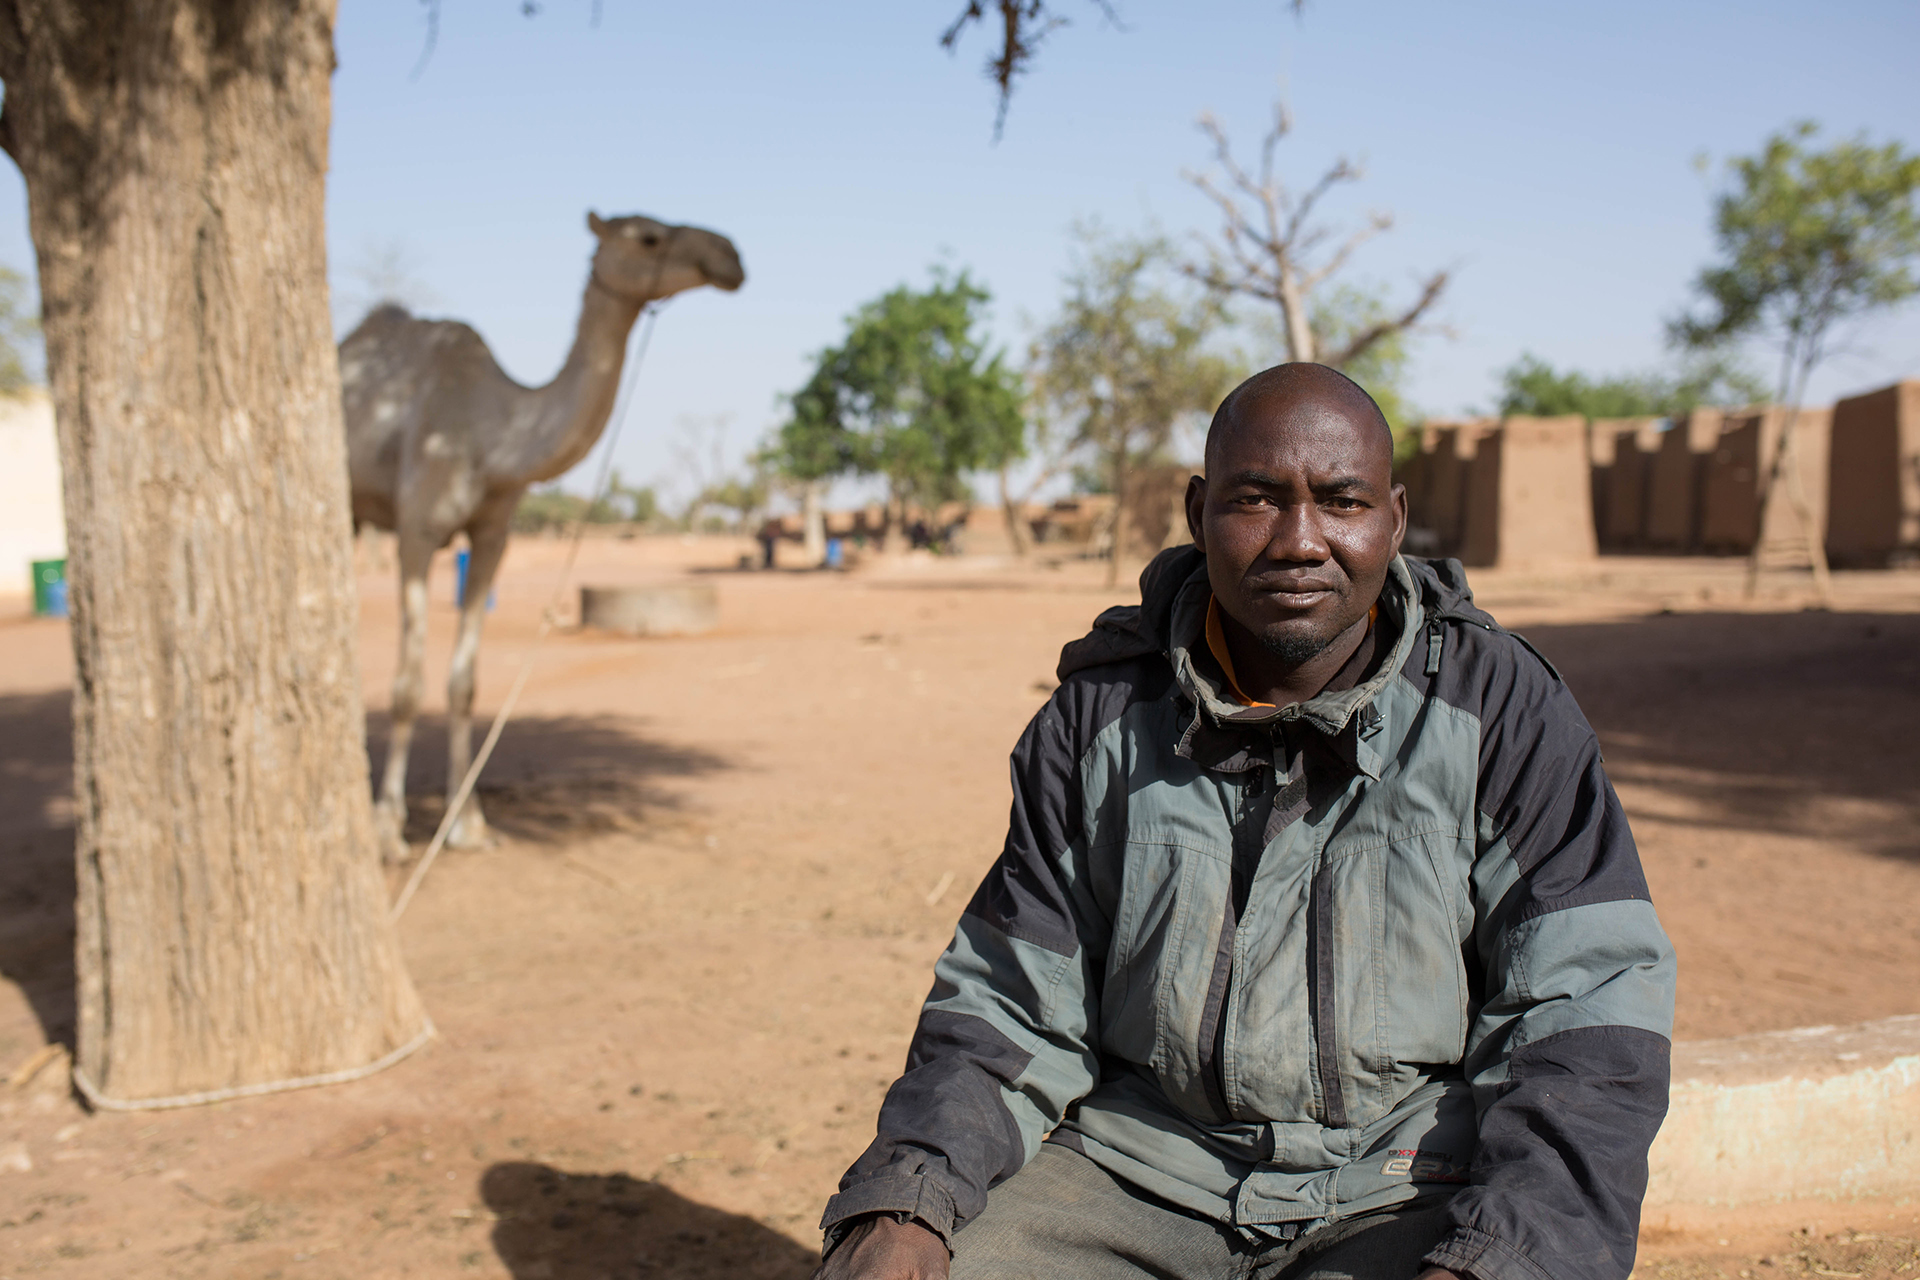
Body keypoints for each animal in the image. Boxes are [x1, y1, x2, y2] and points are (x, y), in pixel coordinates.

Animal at [341, 210, 744, 867]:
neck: (493, 433)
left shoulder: (493, 533)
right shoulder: (418, 529)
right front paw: (386, 831)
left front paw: (468, 825)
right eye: (647, 236)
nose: (731, 256)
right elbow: (407, 685)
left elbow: (464, 684)